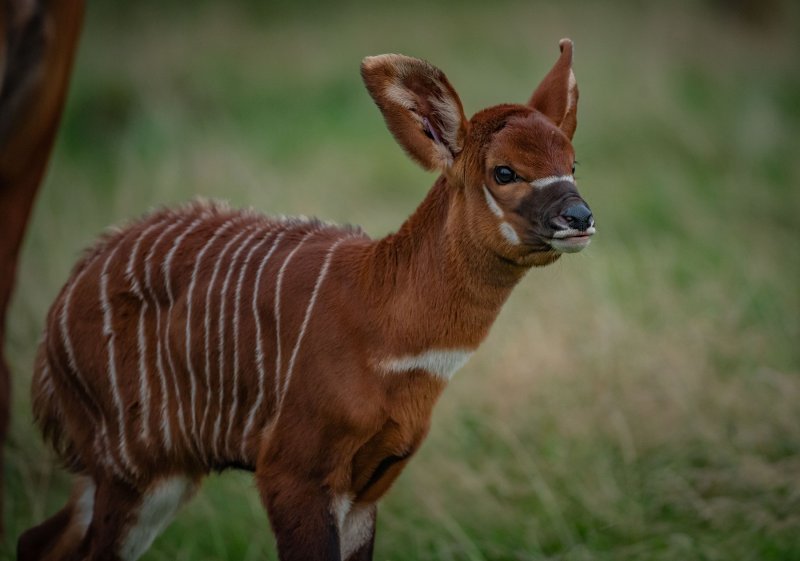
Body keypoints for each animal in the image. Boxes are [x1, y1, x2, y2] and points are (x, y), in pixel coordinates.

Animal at [18, 39, 592, 560]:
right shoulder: (293, 472)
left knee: (39, 540)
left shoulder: (369, 485)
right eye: (504, 171)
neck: (379, 315)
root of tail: (61, 307)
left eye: (573, 163)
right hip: (134, 468)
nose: (580, 217)